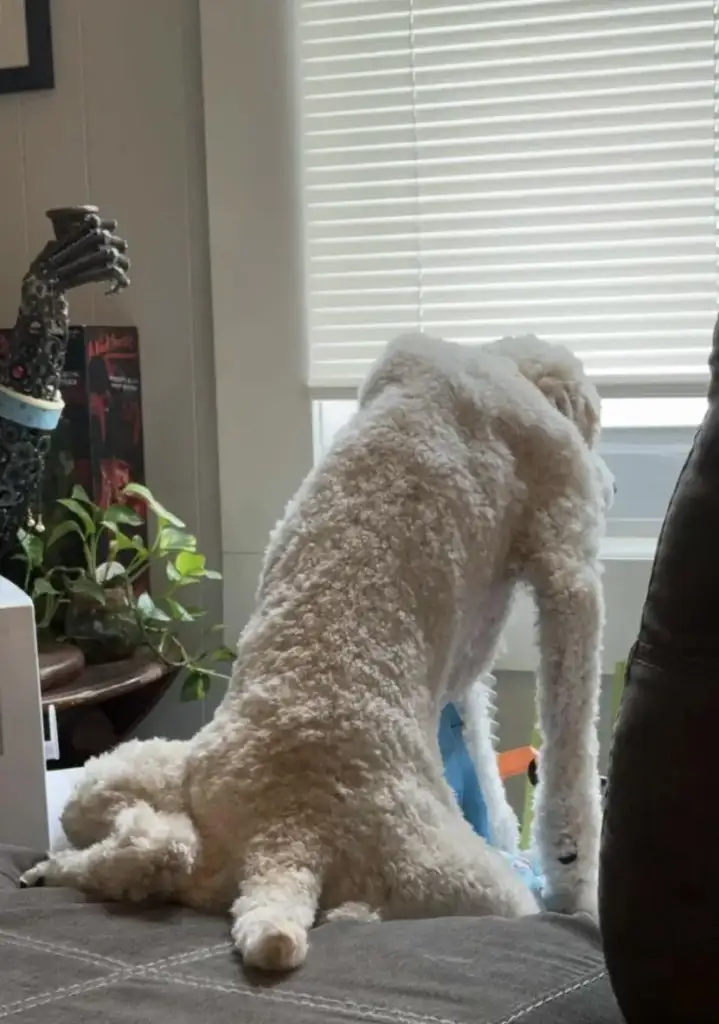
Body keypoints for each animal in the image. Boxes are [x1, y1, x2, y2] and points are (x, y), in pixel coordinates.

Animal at [25, 337, 618, 974]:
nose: (612, 488)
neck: (489, 365)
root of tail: (286, 841)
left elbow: (480, 743)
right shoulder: (567, 545)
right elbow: (571, 754)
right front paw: (577, 883)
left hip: (121, 775)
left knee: (142, 849)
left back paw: (58, 869)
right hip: (467, 883)